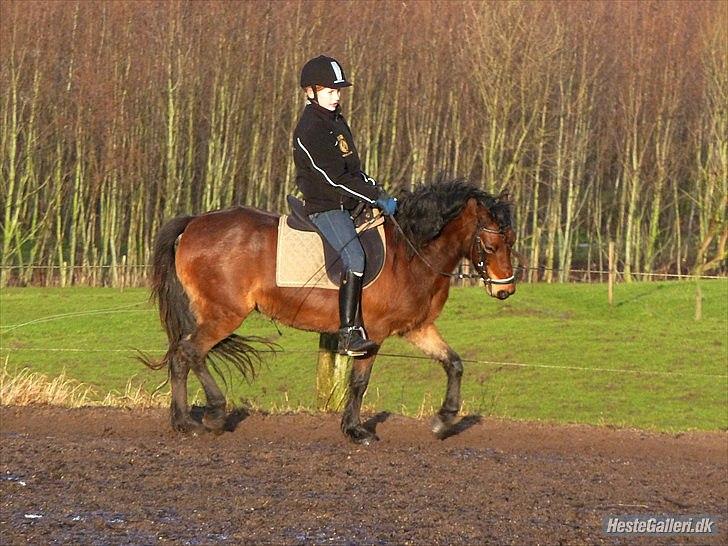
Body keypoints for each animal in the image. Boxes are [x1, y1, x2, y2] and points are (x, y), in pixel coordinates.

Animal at [140, 179, 516, 444]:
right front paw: (355, 430)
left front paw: (443, 420)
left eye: (511, 241)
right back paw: (211, 415)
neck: (409, 252)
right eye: (491, 245)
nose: (505, 290)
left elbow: (453, 363)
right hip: (224, 313)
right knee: (190, 352)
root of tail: (194, 223)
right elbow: (359, 382)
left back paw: (183, 422)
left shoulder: (417, 327)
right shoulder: (373, 333)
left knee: (182, 356)